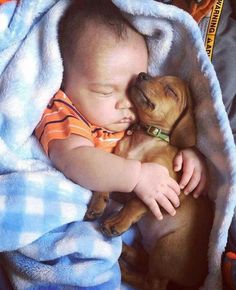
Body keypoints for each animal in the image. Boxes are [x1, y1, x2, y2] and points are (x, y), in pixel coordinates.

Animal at [85, 73, 213, 290]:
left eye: (171, 90)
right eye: (157, 76)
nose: (142, 75)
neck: (145, 138)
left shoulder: (165, 188)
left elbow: (136, 202)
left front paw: (118, 221)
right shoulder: (126, 178)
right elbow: (113, 184)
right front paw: (97, 202)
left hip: (167, 248)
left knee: (151, 284)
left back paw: (123, 268)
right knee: (146, 268)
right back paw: (128, 253)